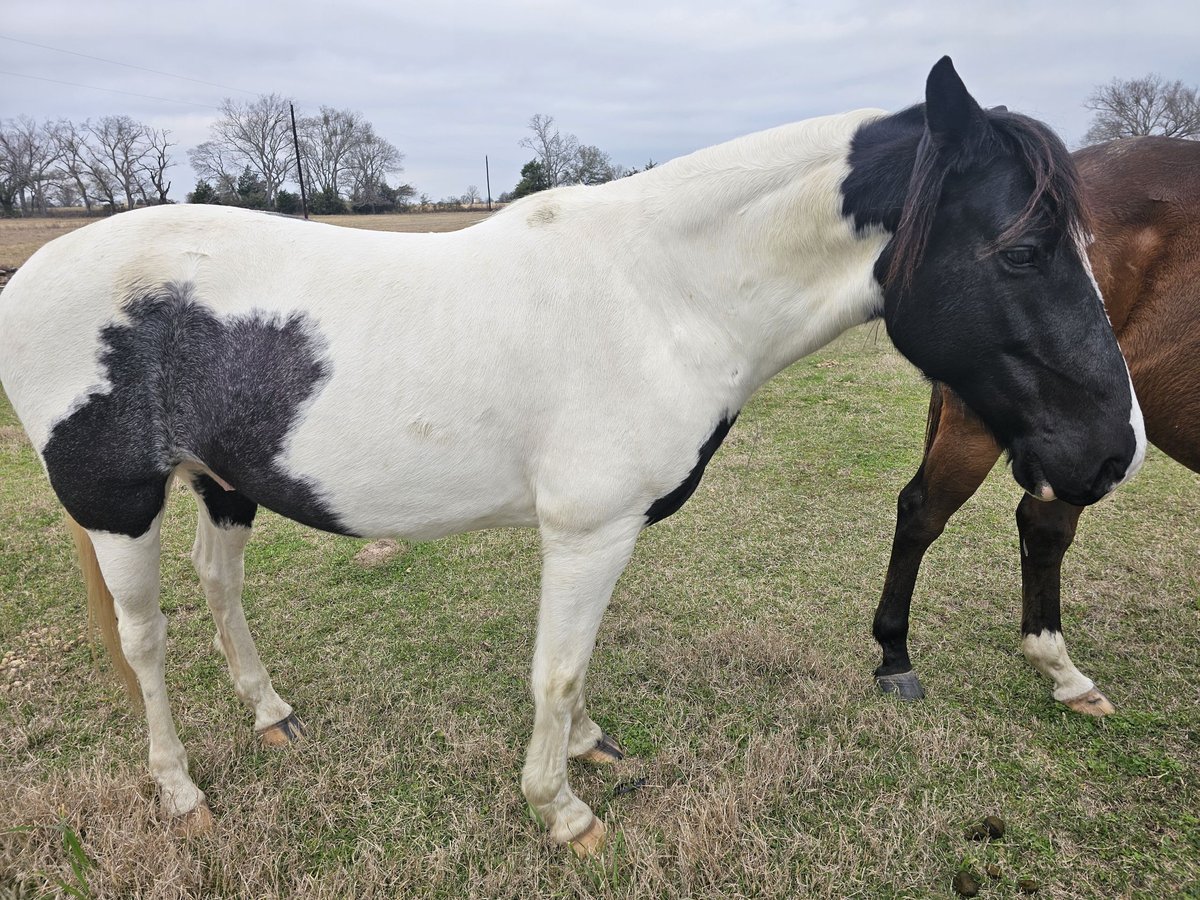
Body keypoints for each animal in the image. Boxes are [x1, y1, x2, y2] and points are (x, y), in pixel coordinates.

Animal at [0, 60, 1142, 854]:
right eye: (1025, 250)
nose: (1112, 454)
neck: (658, 294)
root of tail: (36, 273)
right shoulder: (586, 530)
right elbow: (553, 670)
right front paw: (562, 811)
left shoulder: (609, 532)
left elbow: (577, 664)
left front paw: (592, 749)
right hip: (118, 504)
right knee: (146, 642)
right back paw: (180, 790)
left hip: (225, 484)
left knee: (219, 587)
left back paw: (271, 714)